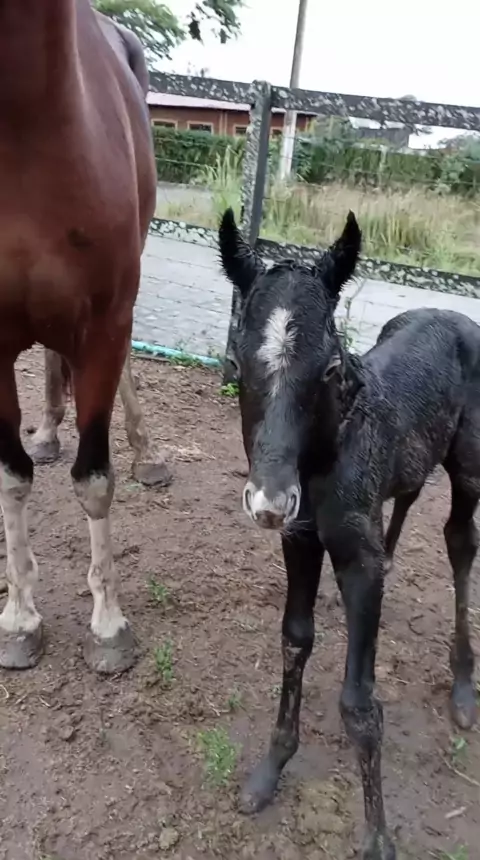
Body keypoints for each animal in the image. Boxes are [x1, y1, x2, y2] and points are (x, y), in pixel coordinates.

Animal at [219, 207, 480, 860]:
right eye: (235, 364)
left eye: (331, 368)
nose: (268, 502)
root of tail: (452, 314)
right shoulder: (301, 540)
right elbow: (295, 640)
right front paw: (268, 773)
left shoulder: (354, 562)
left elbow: (359, 704)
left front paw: (379, 839)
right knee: (406, 499)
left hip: (470, 466)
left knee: (461, 541)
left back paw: (464, 688)